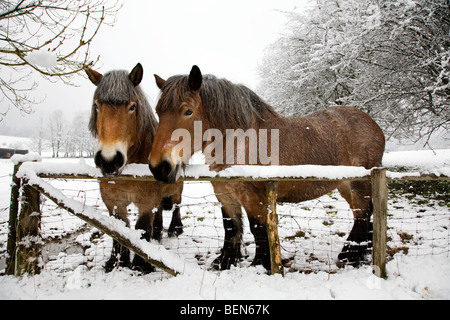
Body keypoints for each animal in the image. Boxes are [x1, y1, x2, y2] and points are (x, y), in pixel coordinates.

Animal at [86, 63, 185, 272]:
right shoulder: (113, 202)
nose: (109, 160)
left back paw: (174, 229)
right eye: (97, 106)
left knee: (176, 206)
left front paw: (141, 265)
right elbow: (120, 231)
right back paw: (158, 233)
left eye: (132, 106)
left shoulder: (146, 202)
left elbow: (142, 229)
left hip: (175, 191)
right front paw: (118, 262)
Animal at [149, 66, 384, 272]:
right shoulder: (225, 195)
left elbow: (259, 229)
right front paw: (225, 262)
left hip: (359, 184)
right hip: (345, 185)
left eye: (188, 111)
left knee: (363, 214)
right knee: (362, 215)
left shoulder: (255, 198)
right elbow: (231, 227)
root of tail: (372, 123)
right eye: (158, 112)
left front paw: (261, 265)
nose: (159, 166)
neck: (240, 143)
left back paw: (350, 256)